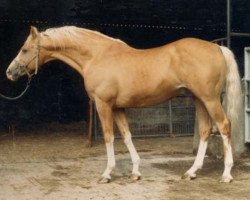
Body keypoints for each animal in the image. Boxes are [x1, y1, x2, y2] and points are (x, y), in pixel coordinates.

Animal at [5, 26, 241, 183]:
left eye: (25, 49)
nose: (10, 72)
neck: (97, 56)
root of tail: (217, 48)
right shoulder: (118, 108)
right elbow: (127, 136)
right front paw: (135, 172)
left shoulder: (103, 105)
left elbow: (109, 137)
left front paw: (107, 173)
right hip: (198, 99)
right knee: (205, 130)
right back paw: (191, 172)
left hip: (209, 99)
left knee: (224, 126)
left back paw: (226, 174)